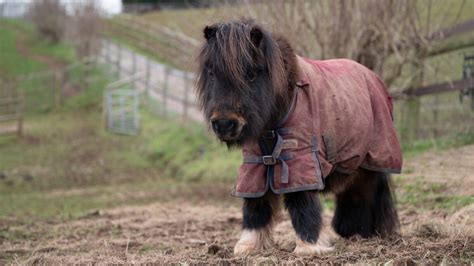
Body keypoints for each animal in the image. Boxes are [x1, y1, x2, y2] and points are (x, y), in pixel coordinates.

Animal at [194, 18, 402, 256]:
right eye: (212, 73)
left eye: (251, 74)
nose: (225, 125)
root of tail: (372, 76)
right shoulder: (255, 163)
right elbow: (256, 202)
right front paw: (249, 245)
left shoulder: (300, 160)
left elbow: (301, 202)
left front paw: (309, 245)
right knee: (355, 191)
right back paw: (354, 231)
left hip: (373, 159)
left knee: (369, 190)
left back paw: (369, 233)